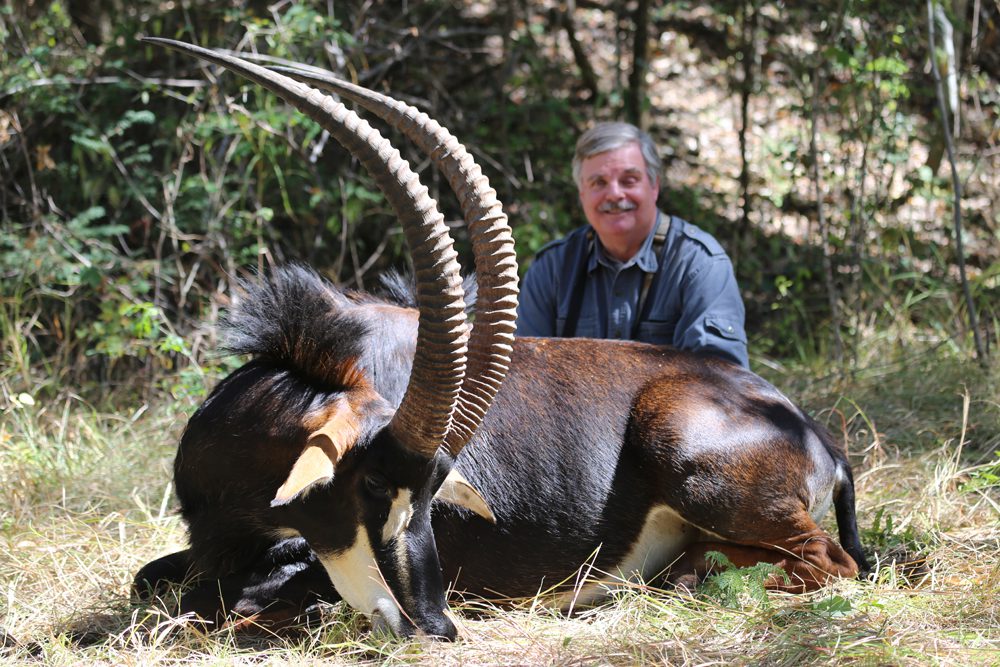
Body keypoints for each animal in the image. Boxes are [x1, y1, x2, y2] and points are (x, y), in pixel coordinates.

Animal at [134, 38, 868, 641]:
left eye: (430, 496)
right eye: (369, 484)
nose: (434, 624)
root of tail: (817, 437)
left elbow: (231, 599)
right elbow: (155, 581)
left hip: (695, 461)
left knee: (833, 561)